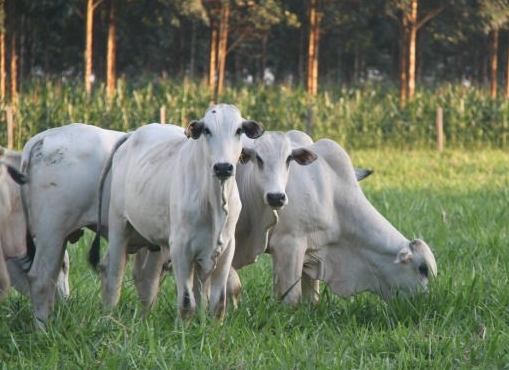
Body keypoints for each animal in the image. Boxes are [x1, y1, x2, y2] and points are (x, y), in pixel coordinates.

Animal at [91, 104, 264, 318]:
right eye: (207, 130)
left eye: (238, 130)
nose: (223, 167)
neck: (214, 201)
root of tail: (132, 134)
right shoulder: (180, 248)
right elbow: (187, 303)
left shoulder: (225, 250)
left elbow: (217, 303)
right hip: (119, 224)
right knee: (114, 270)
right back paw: (109, 314)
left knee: (146, 276)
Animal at [232, 134, 434, 304]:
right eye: (422, 269)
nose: (423, 302)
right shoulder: (288, 244)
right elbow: (292, 298)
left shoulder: (311, 251)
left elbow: (312, 297)